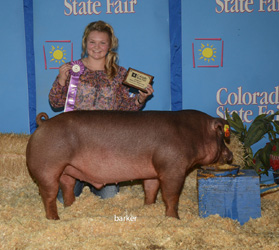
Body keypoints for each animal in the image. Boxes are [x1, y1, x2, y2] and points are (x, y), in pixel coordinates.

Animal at [26, 110, 233, 220]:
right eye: (222, 136)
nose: (231, 155)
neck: (193, 135)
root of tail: (43, 124)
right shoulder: (172, 168)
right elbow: (171, 195)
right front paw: (174, 219)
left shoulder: (153, 172)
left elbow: (151, 190)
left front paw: (148, 207)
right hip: (47, 169)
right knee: (49, 195)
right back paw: (55, 218)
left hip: (67, 170)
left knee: (67, 188)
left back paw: (71, 208)